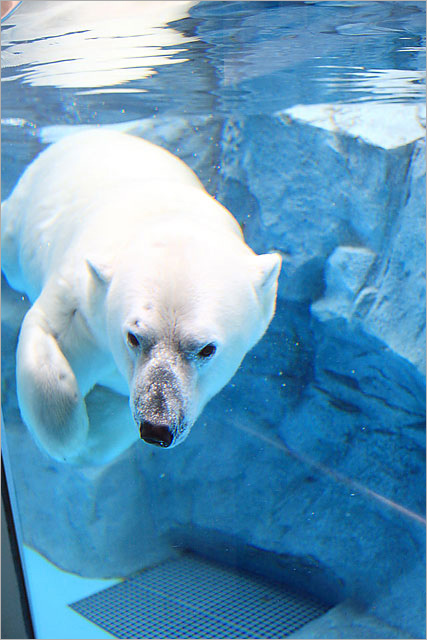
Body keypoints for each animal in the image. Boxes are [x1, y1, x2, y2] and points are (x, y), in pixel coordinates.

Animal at [3, 130, 282, 462]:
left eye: (207, 349)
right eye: (133, 337)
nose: (156, 427)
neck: (168, 214)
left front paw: (92, 441)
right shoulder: (83, 301)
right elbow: (48, 335)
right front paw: (71, 439)